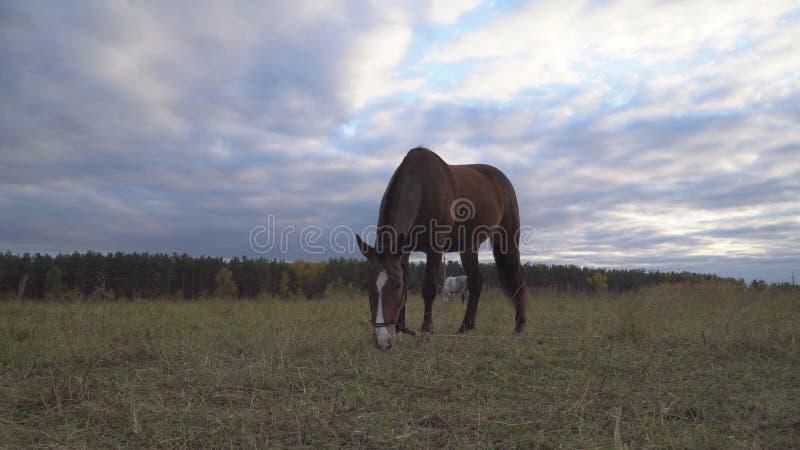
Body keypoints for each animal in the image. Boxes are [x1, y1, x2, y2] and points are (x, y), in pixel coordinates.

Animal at [356, 148, 524, 352]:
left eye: (395, 285)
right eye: (367, 285)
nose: (381, 341)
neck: (422, 186)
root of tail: (503, 181)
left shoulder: (435, 249)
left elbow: (428, 289)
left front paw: (426, 333)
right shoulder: (404, 252)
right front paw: (399, 333)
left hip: (508, 240)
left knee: (516, 279)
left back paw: (518, 328)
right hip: (469, 247)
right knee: (477, 282)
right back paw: (464, 328)